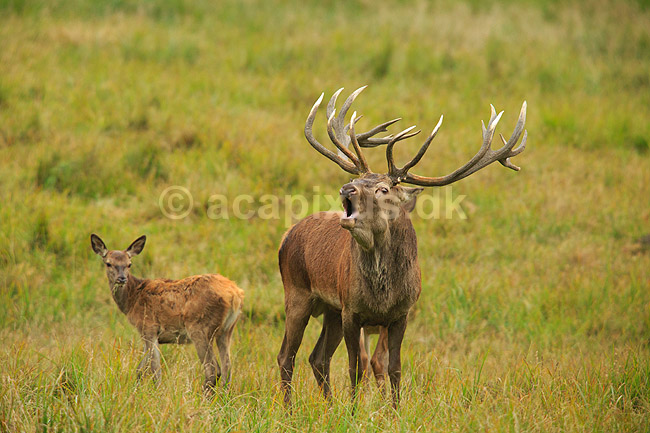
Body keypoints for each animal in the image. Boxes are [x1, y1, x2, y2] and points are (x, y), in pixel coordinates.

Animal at [90, 234, 244, 396]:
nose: (122, 278)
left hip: (200, 327)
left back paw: (204, 397)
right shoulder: (148, 334)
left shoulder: (148, 327)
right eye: (108, 263)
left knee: (213, 369)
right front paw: (137, 390)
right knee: (227, 367)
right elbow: (140, 368)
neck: (132, 300)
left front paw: (156, 393)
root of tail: (235, 295)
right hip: (227, 330)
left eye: (129, 264)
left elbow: (154, 369)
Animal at [277, 86, 527, 408]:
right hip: (297, 293)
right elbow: (356, 368)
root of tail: (287, 236)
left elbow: (394, 368)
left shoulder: (401, 313)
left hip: (330, 309)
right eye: (356, 178)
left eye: (383, 189)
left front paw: (395, 410)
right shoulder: (351, 311)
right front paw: (353, 411)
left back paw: (328, 406)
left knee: (317, 358)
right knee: (287, 355)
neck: (382, 295)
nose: (347, 189)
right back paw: (289, 409)